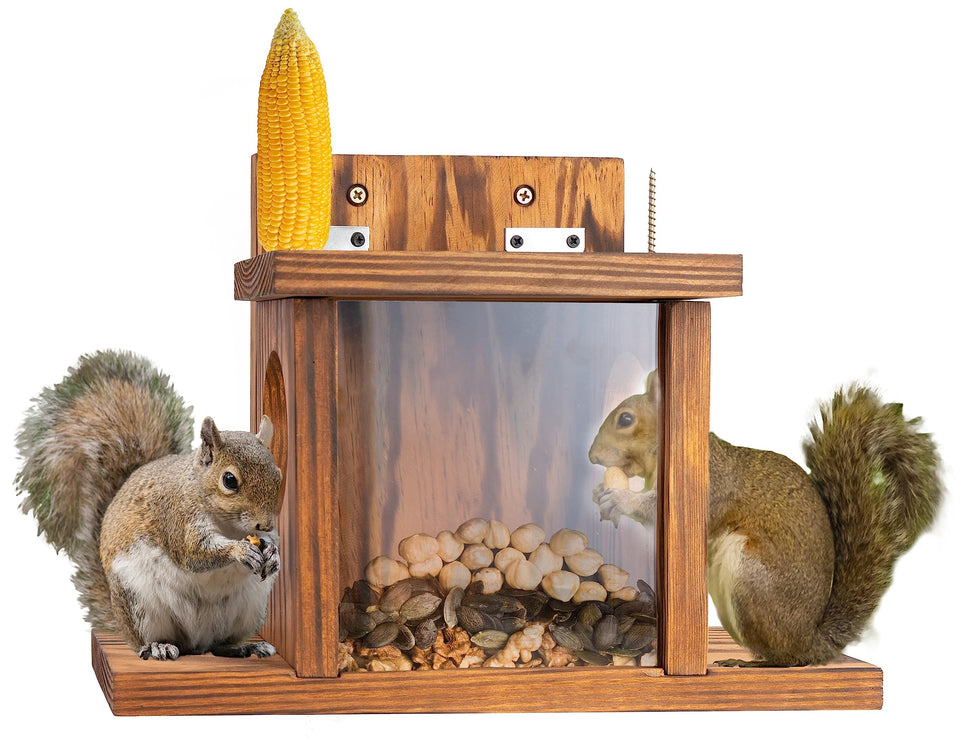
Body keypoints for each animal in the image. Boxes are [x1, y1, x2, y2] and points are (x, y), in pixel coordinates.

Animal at [14, 350, 284, 661]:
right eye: (229, 480)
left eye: (278, 475)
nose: (265, 523)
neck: (227, 524)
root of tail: (196, 642)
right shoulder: (176, 516)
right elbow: (194, 552)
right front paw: (240, 551)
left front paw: (273, 553)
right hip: (138, 603)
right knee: (152, 640)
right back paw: (159, 646)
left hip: (249, 607)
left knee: (219, 645)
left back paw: (247, 646)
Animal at [588, 371, 942, 666]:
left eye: (626, 419)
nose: (592, 457)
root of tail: (810, 640)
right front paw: (600, 492)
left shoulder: (708, 488)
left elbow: (657, 514)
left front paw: (620, 498)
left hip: (751, 580)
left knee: (788, 659)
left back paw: (751, 663)